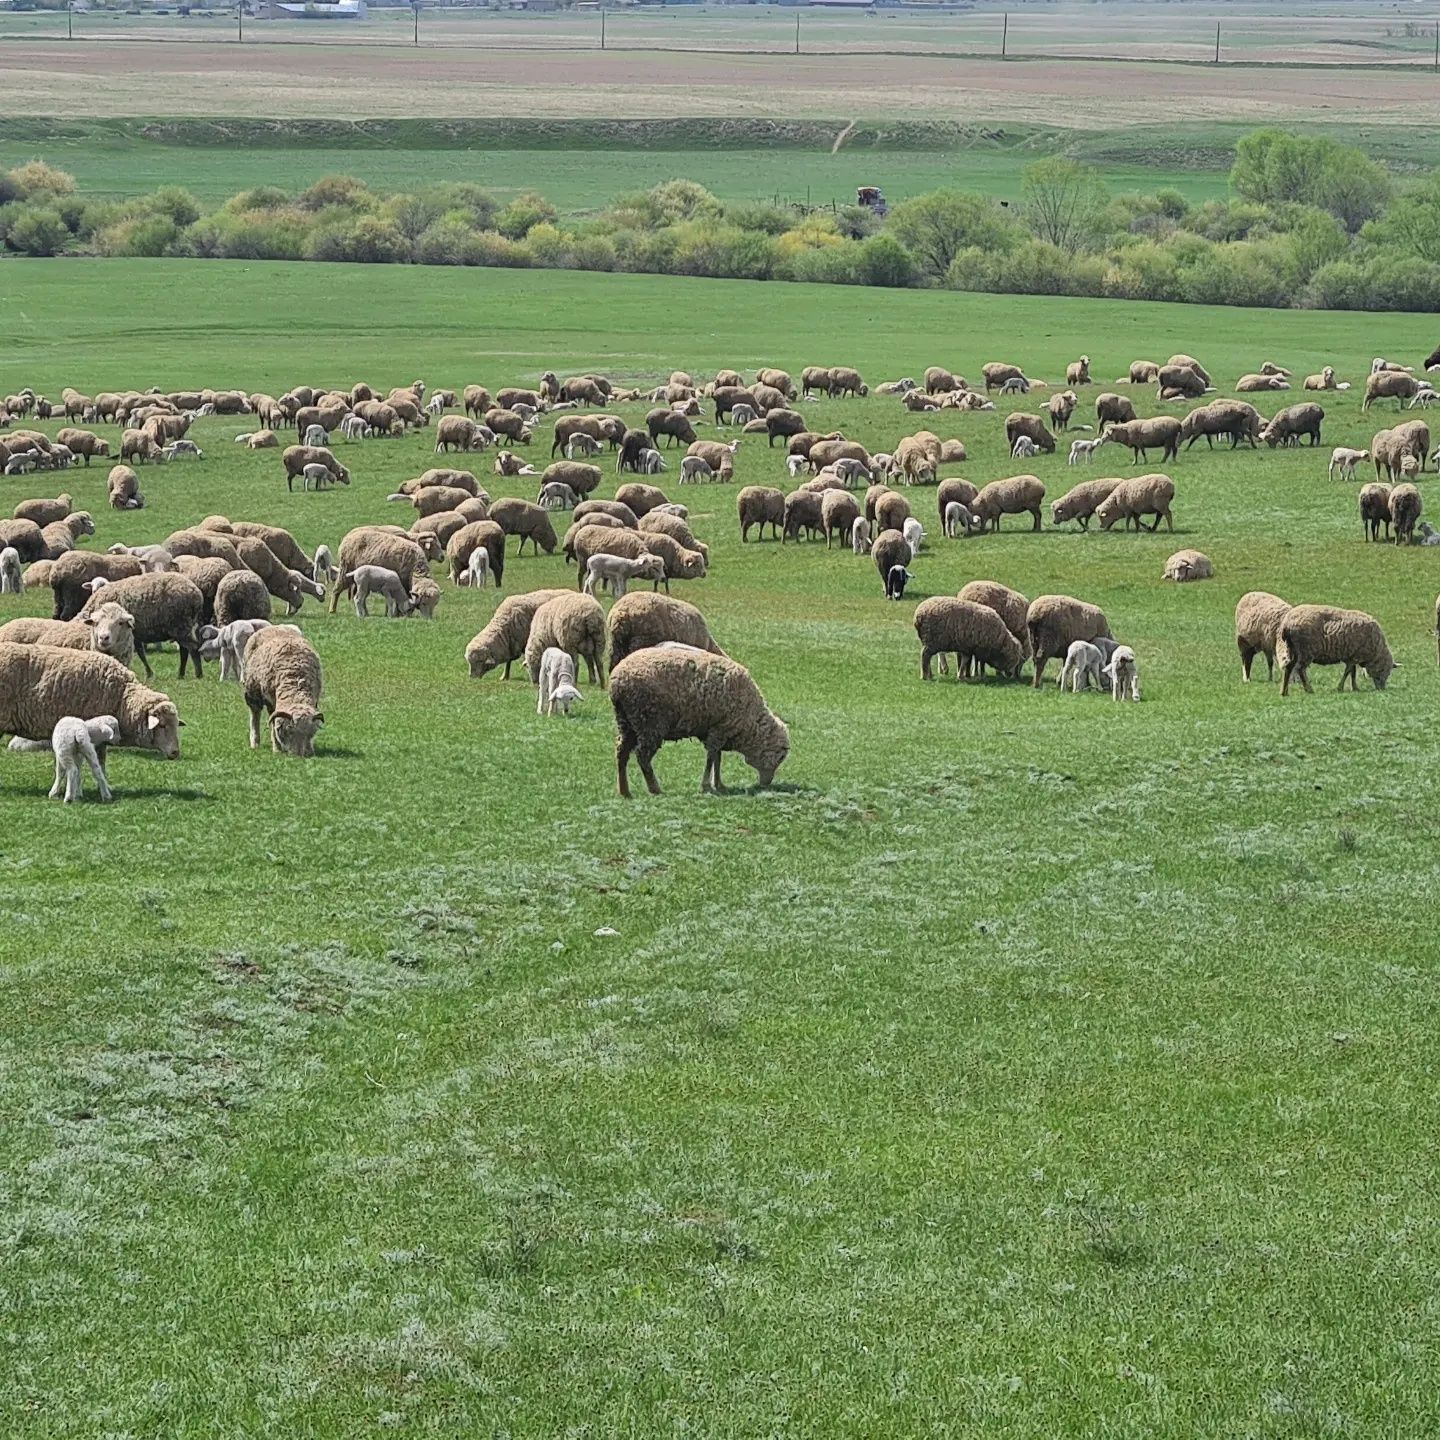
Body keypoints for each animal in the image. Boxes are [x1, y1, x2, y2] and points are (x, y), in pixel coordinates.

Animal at [243, 627, 325, 760]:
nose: (303, 755)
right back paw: (255, 743)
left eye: (312, 733)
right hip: (252, 690)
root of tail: (273, 626)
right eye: (289, 731)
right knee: (255, 714)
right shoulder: (271, 703)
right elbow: (273, 726)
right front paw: (276, 749)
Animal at [607, 650, 789, 800]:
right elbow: (711, 758)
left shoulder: (714, 730)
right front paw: (706, 786)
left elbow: (717, 758)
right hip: (649, 722)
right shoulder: (720, 728)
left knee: (621, 751)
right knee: (642, 756)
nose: (766, 783)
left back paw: (624, 791)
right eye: (780, 757)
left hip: (627, 722)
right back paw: (654, 789)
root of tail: (617, 681)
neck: (750, 722)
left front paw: (718, 784)